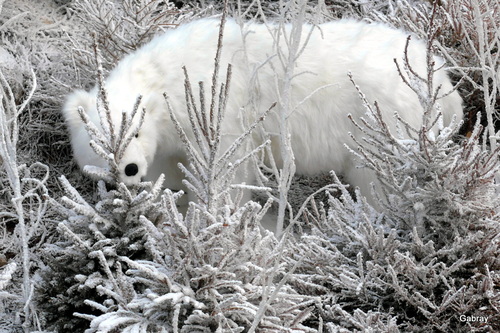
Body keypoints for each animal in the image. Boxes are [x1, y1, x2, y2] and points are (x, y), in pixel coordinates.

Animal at [63, 19, 464, 204]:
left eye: (134, 129)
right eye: (98, 146)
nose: (130, 169)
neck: (171, 77)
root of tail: (442, 79)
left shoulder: (218, 113)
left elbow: (226, 172)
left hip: (381, 123)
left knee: (379, 178)